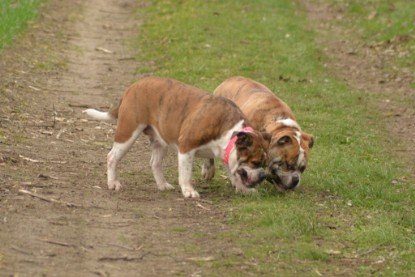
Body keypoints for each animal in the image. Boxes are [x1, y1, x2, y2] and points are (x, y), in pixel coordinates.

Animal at [85, 75, 272, 196]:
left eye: (265, 164)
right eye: (255, 162)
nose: (263, 175)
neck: (228, 130)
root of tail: (132, 87)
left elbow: (234, 171)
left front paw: (243, 189)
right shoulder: (186, 148)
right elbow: (186, 173)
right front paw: (189, 191)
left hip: (159, 140)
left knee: (155, 163)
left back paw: (162, 185)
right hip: (128, 132)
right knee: (112, 157)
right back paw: (113, 183)